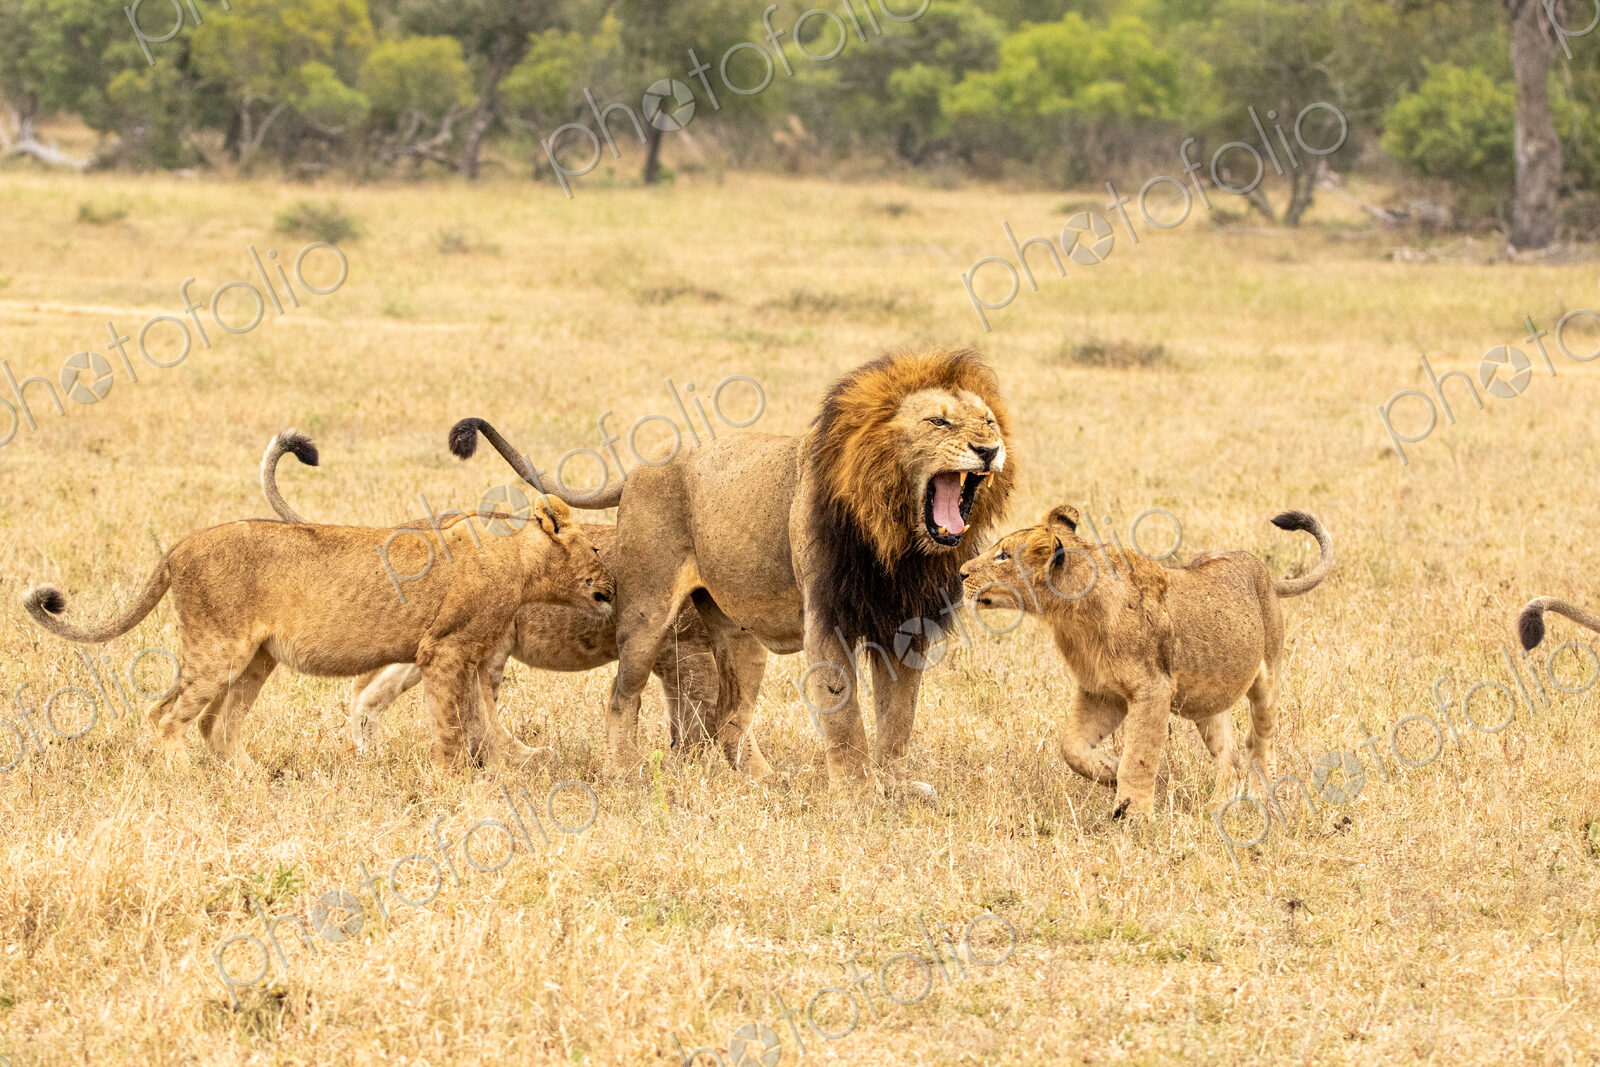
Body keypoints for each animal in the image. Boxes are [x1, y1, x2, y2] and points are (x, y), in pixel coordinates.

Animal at [20, 496, 612, 773]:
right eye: (598, 548)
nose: (615, 583)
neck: (521, 562)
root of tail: (178, 547)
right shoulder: (444, 650)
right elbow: (451, 725)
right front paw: (454, 783)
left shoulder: (474, 654)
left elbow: (480, 718)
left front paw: (503, 767)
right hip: (219, 647)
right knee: (165, 715)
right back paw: (186, 778)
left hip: (256, 657)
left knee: (216, 722)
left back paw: (249, 779)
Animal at [450, 346, 1017, 794]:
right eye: (938, 422)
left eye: (988, 422)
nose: (989, 450)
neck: (896, 537)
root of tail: (638, 467)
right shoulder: (827, 617)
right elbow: (845, 717)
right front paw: (857, 794)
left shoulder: (903, 626)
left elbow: (898, 717)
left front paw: (896, 785)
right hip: (647, 615)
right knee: (621, 695)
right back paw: (621, 774)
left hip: (741, 639)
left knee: (728, 718)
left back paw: (768, 784)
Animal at [960, 506, 1334, 818]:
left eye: (1003, 555)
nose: (962, 572)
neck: (1071, 613)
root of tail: (1265, 574)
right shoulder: (1101, 692)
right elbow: (1071, 746)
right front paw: (1109, 771)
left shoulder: (1152, 689)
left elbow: (1139, 757)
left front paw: (1132, 814)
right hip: (1207, 702)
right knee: (1231, 759)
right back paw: (1214, 809)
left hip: (1267, 681)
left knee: (1261, 746)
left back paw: (1257, 801)